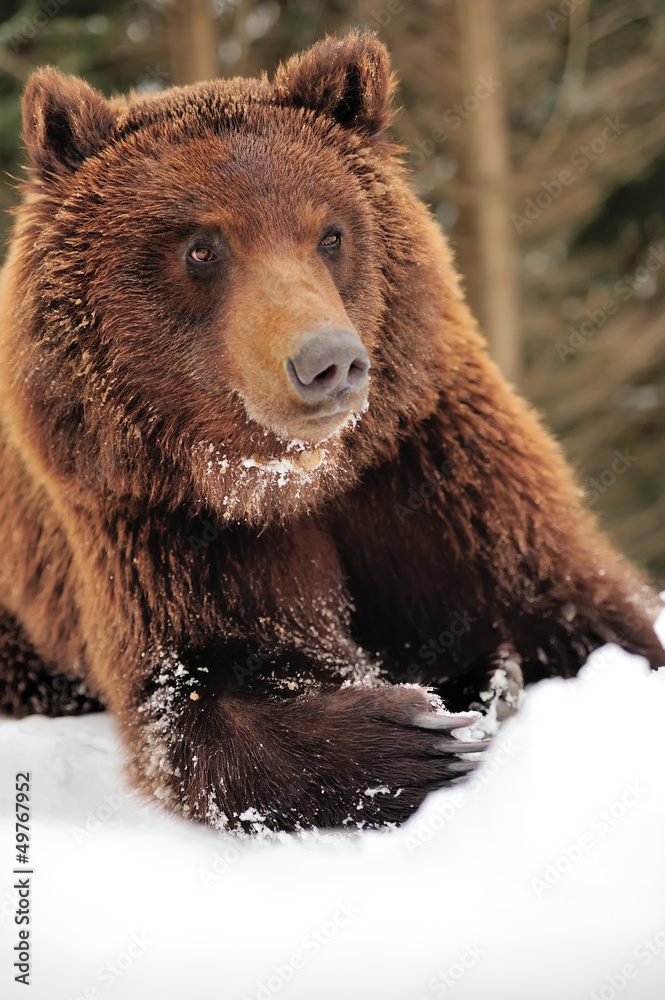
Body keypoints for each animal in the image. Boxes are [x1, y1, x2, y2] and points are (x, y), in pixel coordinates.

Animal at [0, 32, 662, 833]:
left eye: (331, 233)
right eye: (201, 246)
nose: (328, 361)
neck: (302, 478)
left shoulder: (435, 471)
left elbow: (577, 610)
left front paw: (482, 678)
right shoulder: (161, 523)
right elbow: (203, 699)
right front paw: (420, 732)